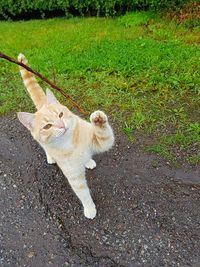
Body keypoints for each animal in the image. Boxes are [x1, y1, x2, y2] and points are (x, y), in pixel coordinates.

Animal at [16, 54, 114, 220]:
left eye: (60, 114)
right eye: (47, 126)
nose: (62, 125)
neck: (71, 143)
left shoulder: (99, 141)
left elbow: (104, 135)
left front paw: (98, 120)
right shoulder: (74, 176)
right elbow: (83, 194)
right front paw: (90, 209)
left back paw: (88, 161)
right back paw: (51, 157)